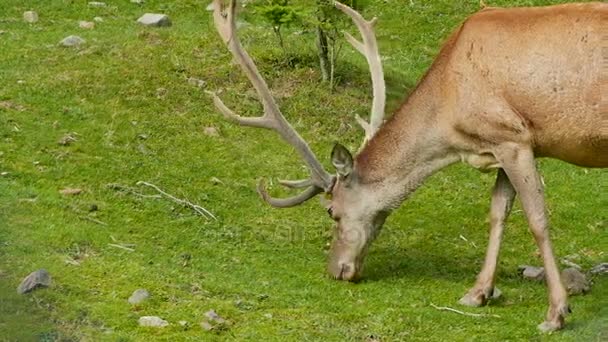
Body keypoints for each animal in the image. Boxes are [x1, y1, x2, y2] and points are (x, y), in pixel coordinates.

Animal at [205, 0, 608, 332]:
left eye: (331, 211)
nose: (335, 271)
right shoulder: (505, 145)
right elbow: (498, 214)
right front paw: (477, 293)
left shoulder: (513, 137)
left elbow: (537, 220)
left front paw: (556, 312)